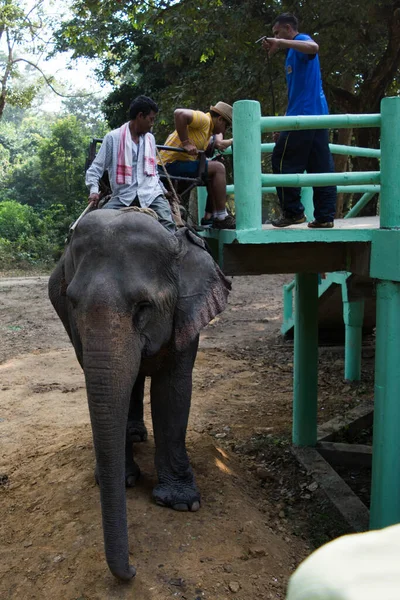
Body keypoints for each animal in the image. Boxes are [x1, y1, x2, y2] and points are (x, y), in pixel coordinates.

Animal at [48, 210, 230, 580]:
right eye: (72, 302)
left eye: (144, 307)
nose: (132, 571)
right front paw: (120, 481)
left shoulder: (186, 315)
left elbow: (172, 390)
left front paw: (182, 503)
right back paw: (133, 437)